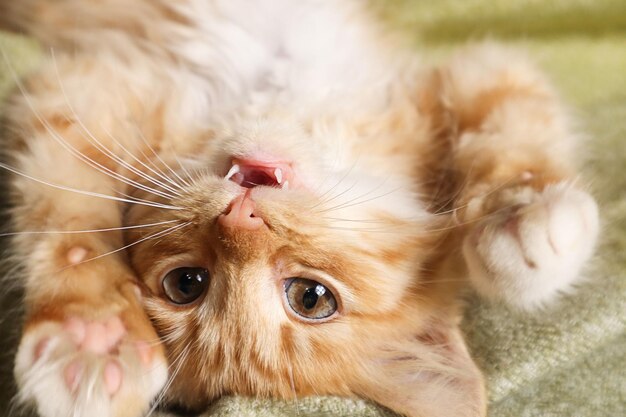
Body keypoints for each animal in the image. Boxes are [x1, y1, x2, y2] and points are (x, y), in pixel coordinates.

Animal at [0, 0, 596, 416]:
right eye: (187, 283)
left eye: (311, 297)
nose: (240, 218)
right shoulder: (75, 93)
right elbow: (69, 226)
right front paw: (91, 337)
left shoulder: (459, 76)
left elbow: (509, 122)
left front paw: (527, 224)